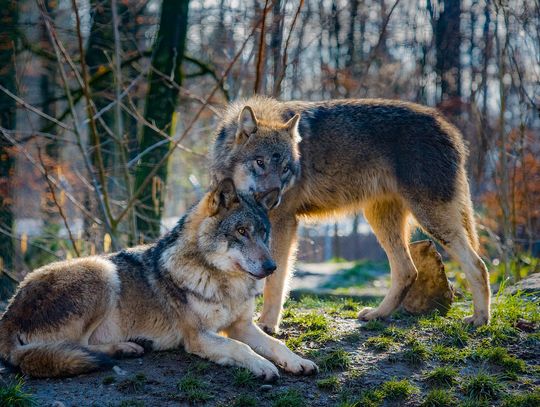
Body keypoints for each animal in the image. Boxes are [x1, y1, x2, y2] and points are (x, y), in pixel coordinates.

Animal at [0, 180, 318, 380]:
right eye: (241, 231)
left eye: (263, 233)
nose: (272, 266)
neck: (223, 282)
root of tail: (8, 314)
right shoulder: (198, 336)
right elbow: (241, 348)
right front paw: (263, 366)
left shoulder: (241, 326)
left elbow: (276, 345)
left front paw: (298, 362)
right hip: (102, 270)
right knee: (77, 346)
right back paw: (125, 348)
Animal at [213, 96, 492, 334]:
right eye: (259, 162)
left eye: (285, 169)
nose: (273, 198)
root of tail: (450, 128)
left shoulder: (283, 223)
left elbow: (275, 281)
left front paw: (267, 325)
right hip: (381, 220)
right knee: (407, 271)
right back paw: (378, 314)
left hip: (431, 220)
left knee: (478, 265)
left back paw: (480, 319)